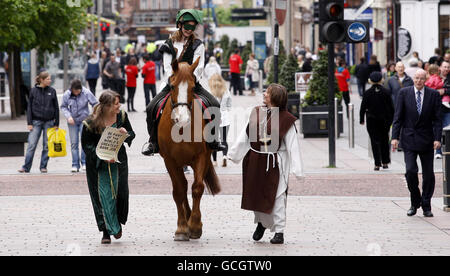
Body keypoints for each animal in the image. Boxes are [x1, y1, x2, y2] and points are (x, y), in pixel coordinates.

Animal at [159, 56, 221, 242]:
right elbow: (179, 191)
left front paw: (194, 226)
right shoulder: (170, 160)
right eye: (172, 86)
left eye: (193, 87)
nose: (182, 119)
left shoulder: (201, 156)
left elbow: (197, 188)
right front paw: (181, 228)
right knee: (182, 185)